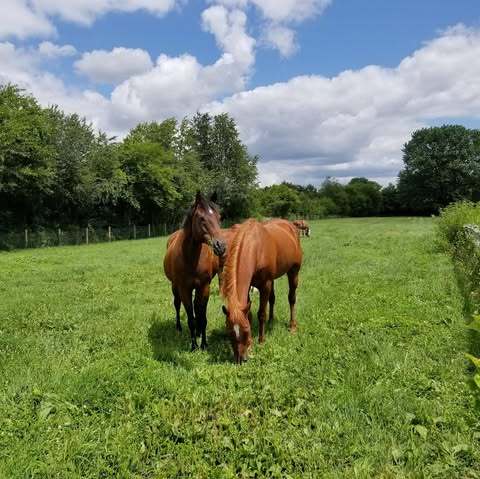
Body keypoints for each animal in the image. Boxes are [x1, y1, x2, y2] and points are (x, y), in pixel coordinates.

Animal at [164, 192, 226, 352]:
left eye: (219, 217)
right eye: (201, 218)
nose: (221, 246)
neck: (191, 258)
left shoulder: (204, 287)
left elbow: (202, 316)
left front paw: (203, 344)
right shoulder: (184, 288)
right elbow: (190, 318)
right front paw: (193, 346)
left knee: (196, 307)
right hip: (174, 286)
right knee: (177, 304)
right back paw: (179, 328)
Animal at [220, 218, 302, 364]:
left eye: (246, 330)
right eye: (229, 332)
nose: (241, 359)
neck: (255, 248)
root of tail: (291, 226)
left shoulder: (265, 285)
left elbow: (261, 314)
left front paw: (261, 341)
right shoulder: (249, 287)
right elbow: (250, 314)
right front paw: (251, 344)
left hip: (293, 272)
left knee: (291, 298)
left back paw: (292, 326)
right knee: (272, 299)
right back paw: (271, 320)